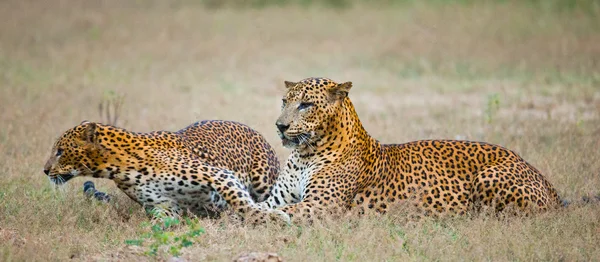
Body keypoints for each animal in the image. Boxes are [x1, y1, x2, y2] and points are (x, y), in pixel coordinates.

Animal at [41, 119, 290, 223]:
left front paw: (268, 217)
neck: (118, 168)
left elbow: (241, 202)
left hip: (263, 180)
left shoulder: (219, 175)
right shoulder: (165, 206)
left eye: (60, 151)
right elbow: (160, 225)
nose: (44, 170)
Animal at [260, 76, 564, 221]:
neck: (305, 154)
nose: (280, 126)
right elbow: (262, 206)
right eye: (284, 101)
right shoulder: (277, 199)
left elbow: (273, 213)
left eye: (306, 105)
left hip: (489, 178)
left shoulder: (322, 206)